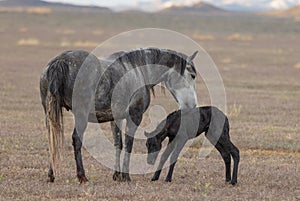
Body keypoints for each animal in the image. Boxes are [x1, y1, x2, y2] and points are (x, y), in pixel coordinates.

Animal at [40, 47, 199, 182]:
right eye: (192, 75)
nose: (192, 106)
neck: (140, 70)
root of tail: (60, 61)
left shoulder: (116, 118)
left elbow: (118, 143)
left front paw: (117, 175)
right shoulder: (134, 116)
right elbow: (129, 144)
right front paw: (126, 176)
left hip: (50, 114)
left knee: (52, 139)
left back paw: (51, 174)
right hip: (81, 115)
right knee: (76, 140)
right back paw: (82, 176)